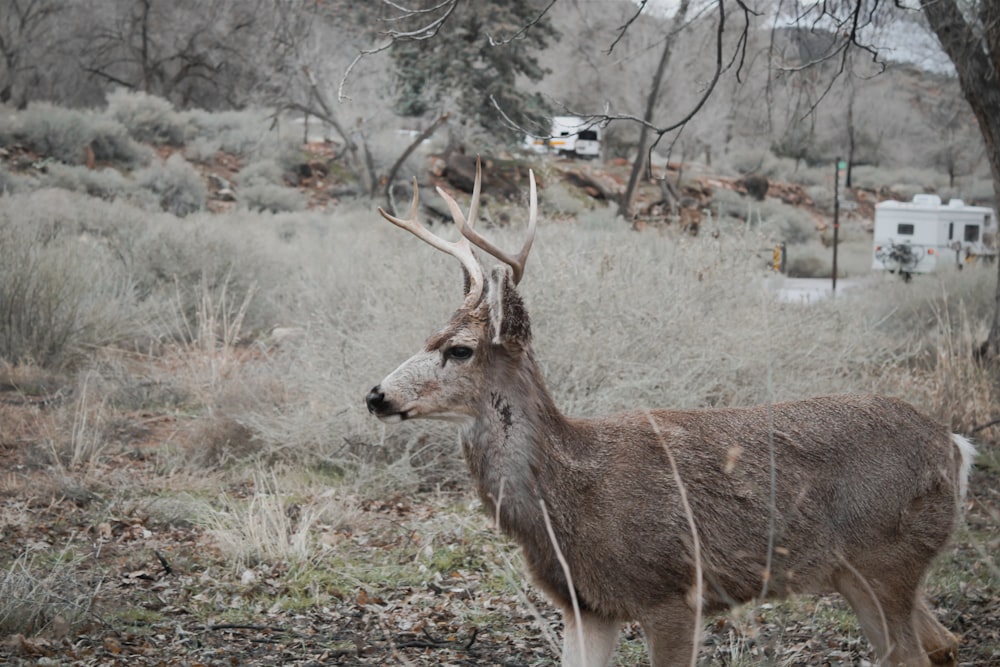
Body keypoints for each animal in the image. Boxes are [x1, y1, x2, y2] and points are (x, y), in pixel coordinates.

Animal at [364, 159, 972, 664]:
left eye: (460, 349)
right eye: (428, 337)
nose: (376, 395)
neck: (569, 497)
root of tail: (955, 447)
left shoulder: (674, 590)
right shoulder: (586, 606)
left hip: (886, 561)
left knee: (916, 654)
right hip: (862, 572)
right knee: (944, 644)